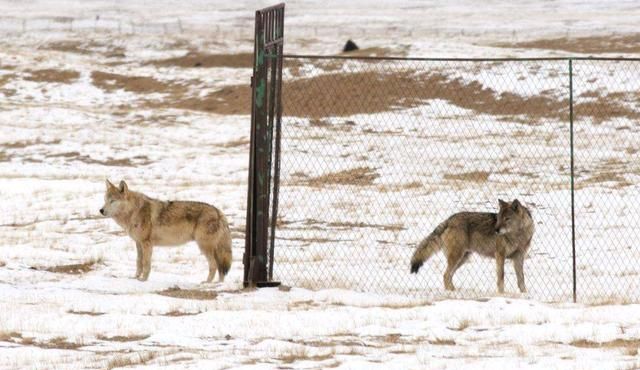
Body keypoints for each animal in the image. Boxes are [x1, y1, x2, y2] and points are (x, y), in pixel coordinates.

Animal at [99, 181, 231, 282]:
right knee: (221, 268)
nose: (101, 210)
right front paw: (135, 278)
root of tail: (219, 212)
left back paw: (207, 283)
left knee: (214, 265)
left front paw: (143, 280)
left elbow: (146, 263)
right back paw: (218, 284)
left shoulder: (147, 244)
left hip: (204, 247)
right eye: (105, 200)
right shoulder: (138, 243)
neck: (133, 212)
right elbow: (138, 262)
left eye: (112, 201)